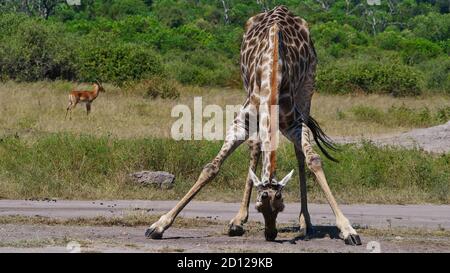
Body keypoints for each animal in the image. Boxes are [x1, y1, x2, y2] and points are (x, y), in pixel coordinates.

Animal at [148, 5, 362, 244]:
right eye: (260, 206)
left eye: (280, 206)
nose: (270, 234)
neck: (272, 71)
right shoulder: (242, 123)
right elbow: (211, 168)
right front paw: (159, 225)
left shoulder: (295, 124)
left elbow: (313, 160)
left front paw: (347, 229)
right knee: (255, 147)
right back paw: (238, 220)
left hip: (308, 88)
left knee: (297, 153)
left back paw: (304, 222)